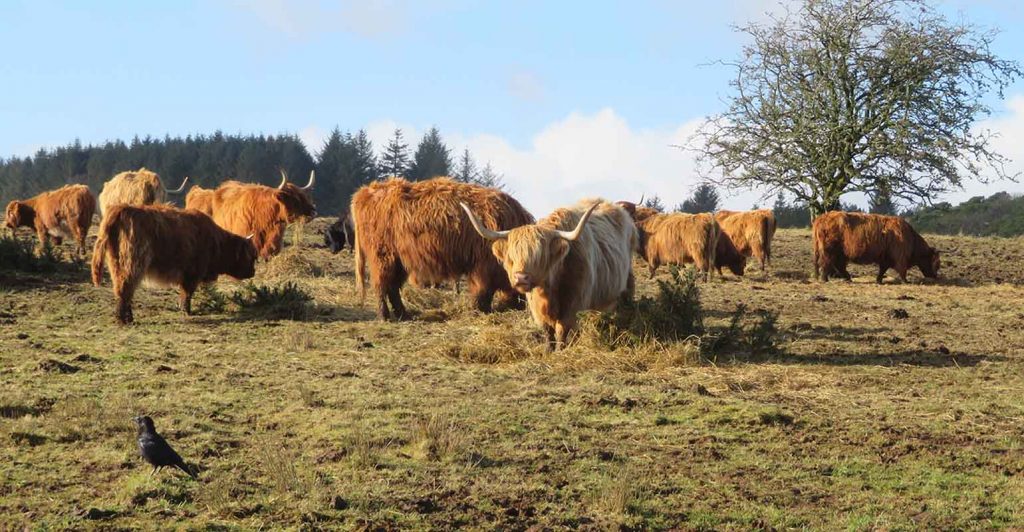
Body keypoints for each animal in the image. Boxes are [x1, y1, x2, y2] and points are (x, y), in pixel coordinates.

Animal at [91, 204, 258, 324]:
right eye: (250, 256)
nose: (253, 272)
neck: (216, 242)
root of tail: (122, 209)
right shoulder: (192, 272)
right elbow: (187, 292)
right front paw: (187, 310)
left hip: (116, 263)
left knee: (121, 290)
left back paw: (126, 317)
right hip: (133, 263)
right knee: (126, 288)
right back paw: (124, 319)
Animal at [351, 177, 534, 320]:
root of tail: (366, 192)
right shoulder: (482, 268)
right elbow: (482, 293)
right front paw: (480, 311)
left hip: (399, 260)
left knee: (393, 287)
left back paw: (403, 314)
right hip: (382, 256)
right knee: (381, 284)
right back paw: (384, 316)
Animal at [462, 199, 638, 351]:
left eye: (540, 256)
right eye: (512, 256)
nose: (521, 278)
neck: (549, 289)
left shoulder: (572, 305)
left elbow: (562, 329)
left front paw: (561, 350)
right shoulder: (536, 306)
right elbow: (547, 329)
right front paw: (548, 350)